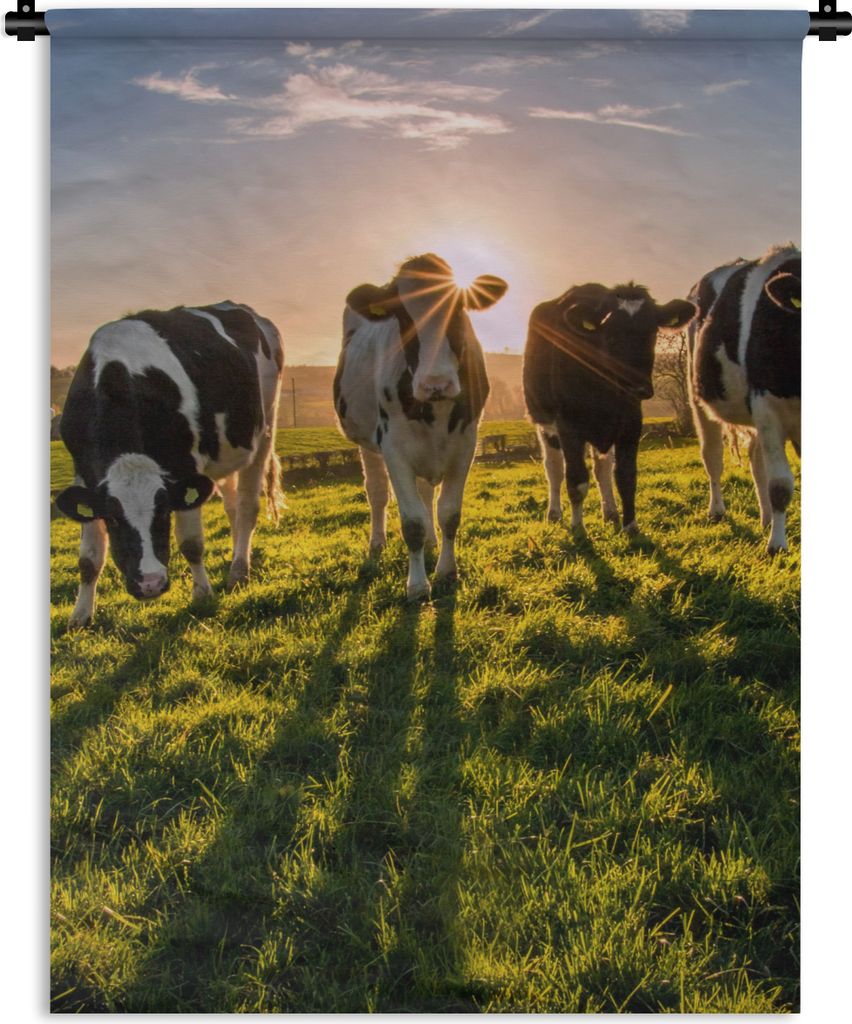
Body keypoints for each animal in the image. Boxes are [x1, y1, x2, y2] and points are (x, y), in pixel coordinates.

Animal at [55, 301, 284, 628]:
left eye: (163, 512)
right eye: (112, 519)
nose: (149, 584)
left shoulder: (185, 466)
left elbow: (191, 543)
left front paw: (202, 594)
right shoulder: (85, 475)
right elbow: (89, 557)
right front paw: (80, 616)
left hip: (265, 428)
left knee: (247, 506)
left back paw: (239, 570)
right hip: (226, 452)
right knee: (232, 506)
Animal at [333, 253, 508, 600]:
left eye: (459, 309)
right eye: (403, 316)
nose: (435, 383)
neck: (435, 410)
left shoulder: (465, 444)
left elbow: (449, 513)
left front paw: (447, 571)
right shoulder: (393, 448)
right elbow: (412, 522)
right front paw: (416, 585)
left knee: (427, 493)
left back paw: (431, 543)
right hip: (366, 442)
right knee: (376, 492)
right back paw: (377, 543)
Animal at [523, 283, 696, 534]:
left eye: (651, 333)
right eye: (611, 335)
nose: (638, 386)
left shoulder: (631, 425)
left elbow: (625, 477)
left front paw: (630, 526)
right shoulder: (569, 427)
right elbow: (576, 480)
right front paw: (578, 528)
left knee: (602, 469)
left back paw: (611, 512)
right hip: (544, 422)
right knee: (554, 469)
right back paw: (554, 513)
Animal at [688, 245, 801, 553]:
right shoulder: (768, 407)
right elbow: (780, 485)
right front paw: (777, 545)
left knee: (756, 461)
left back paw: (766, 519)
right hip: (698, 399)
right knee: (712, 456)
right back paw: (717, 510)